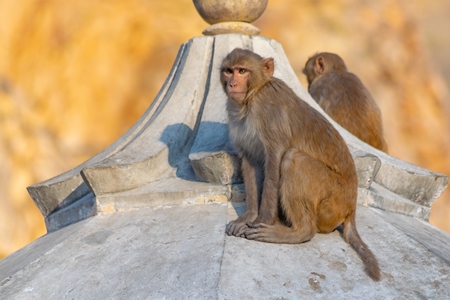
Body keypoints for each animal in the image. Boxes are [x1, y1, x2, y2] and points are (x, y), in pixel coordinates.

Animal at [221, 48, 380, 280]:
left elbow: (276, 156)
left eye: (242, 71)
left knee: (293, 159)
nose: (232, 84)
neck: (251, 97)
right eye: (228, 71)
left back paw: (297, 232)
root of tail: (351, 208)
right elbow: (250, 162)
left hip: (331, 202)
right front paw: (247, 216)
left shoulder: (269, 110)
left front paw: (262, 220)